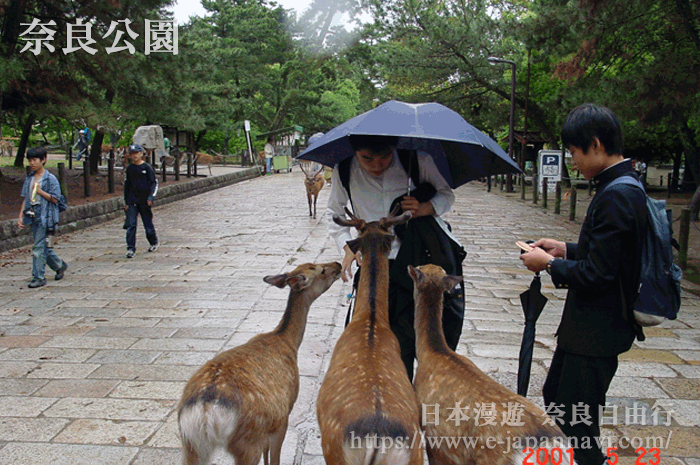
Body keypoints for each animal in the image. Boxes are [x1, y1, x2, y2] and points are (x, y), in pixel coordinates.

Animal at [178, 260, 342, 464]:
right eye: (322, 270)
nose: (339, 264)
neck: (288, 341)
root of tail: (205, 410)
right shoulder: (284, 414)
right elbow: (274, 456)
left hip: (191, 445)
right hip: (248, 443)